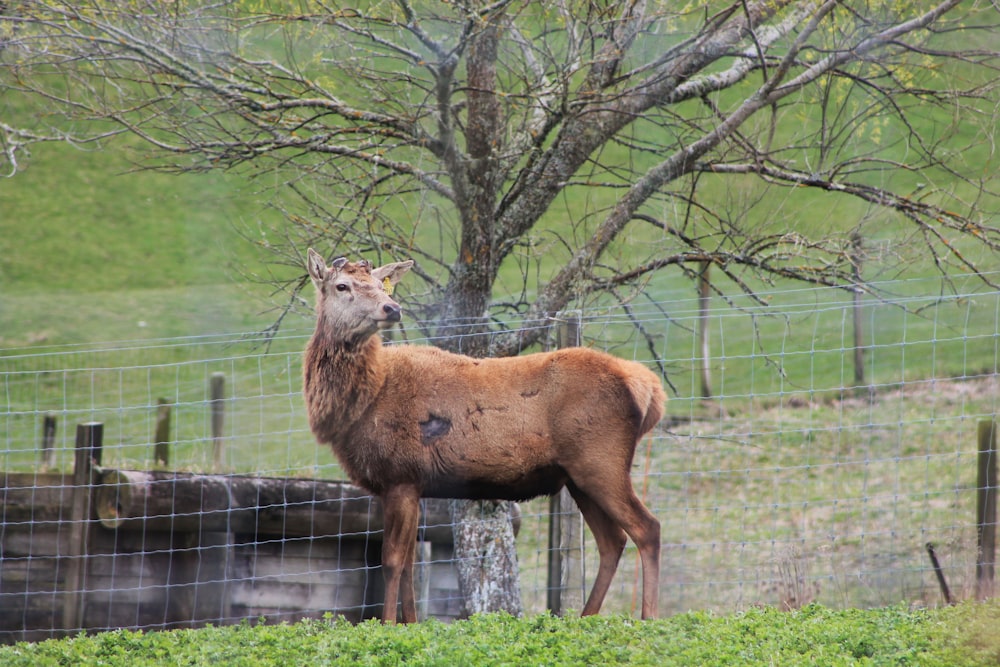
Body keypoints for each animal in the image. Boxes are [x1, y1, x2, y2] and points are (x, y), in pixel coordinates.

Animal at [300, 248, 668, 624]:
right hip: (578, 477)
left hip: (601, 461)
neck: (364, 402)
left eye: (379, 284)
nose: (392, 308)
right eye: (342, 286)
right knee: (612, 541)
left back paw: (649, 616)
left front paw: (387, 624)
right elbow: (409, 565)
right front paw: (411, 623)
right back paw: (585, 616)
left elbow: (391, 561)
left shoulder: (399, 476)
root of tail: (651, 389)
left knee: (648, 528)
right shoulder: (413, 483)